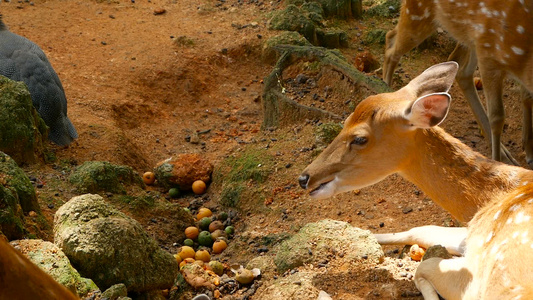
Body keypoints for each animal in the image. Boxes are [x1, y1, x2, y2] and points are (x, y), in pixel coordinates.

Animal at [380, 0, 532, 168]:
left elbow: (526, 97)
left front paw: (529, 151)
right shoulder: (488, 56)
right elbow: (497, 117)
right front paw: (498, 163)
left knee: (459, 67)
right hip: (419, 13)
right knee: (391, 43)